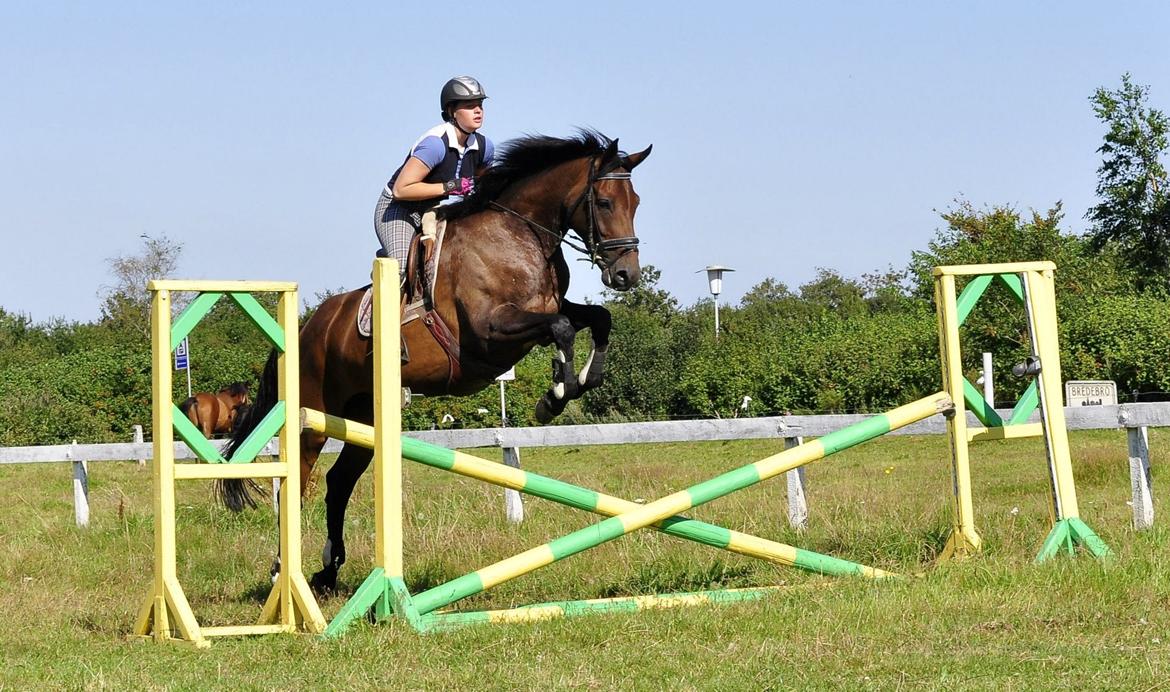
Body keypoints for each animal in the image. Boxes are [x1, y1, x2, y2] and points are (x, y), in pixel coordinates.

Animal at [223, 129, 655, 590]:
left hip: (365, 416)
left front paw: (583, 379)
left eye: (636, 201)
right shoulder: (490, 333)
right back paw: (281, 570)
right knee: (297, 482)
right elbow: (561, 328)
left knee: (339, 482)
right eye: (605, 202)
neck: (519, 236)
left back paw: (329, 567)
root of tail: (304, 330)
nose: (626, 275)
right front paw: (555, 395)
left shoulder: (548, 311)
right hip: (315, 414)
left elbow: (597, 318)